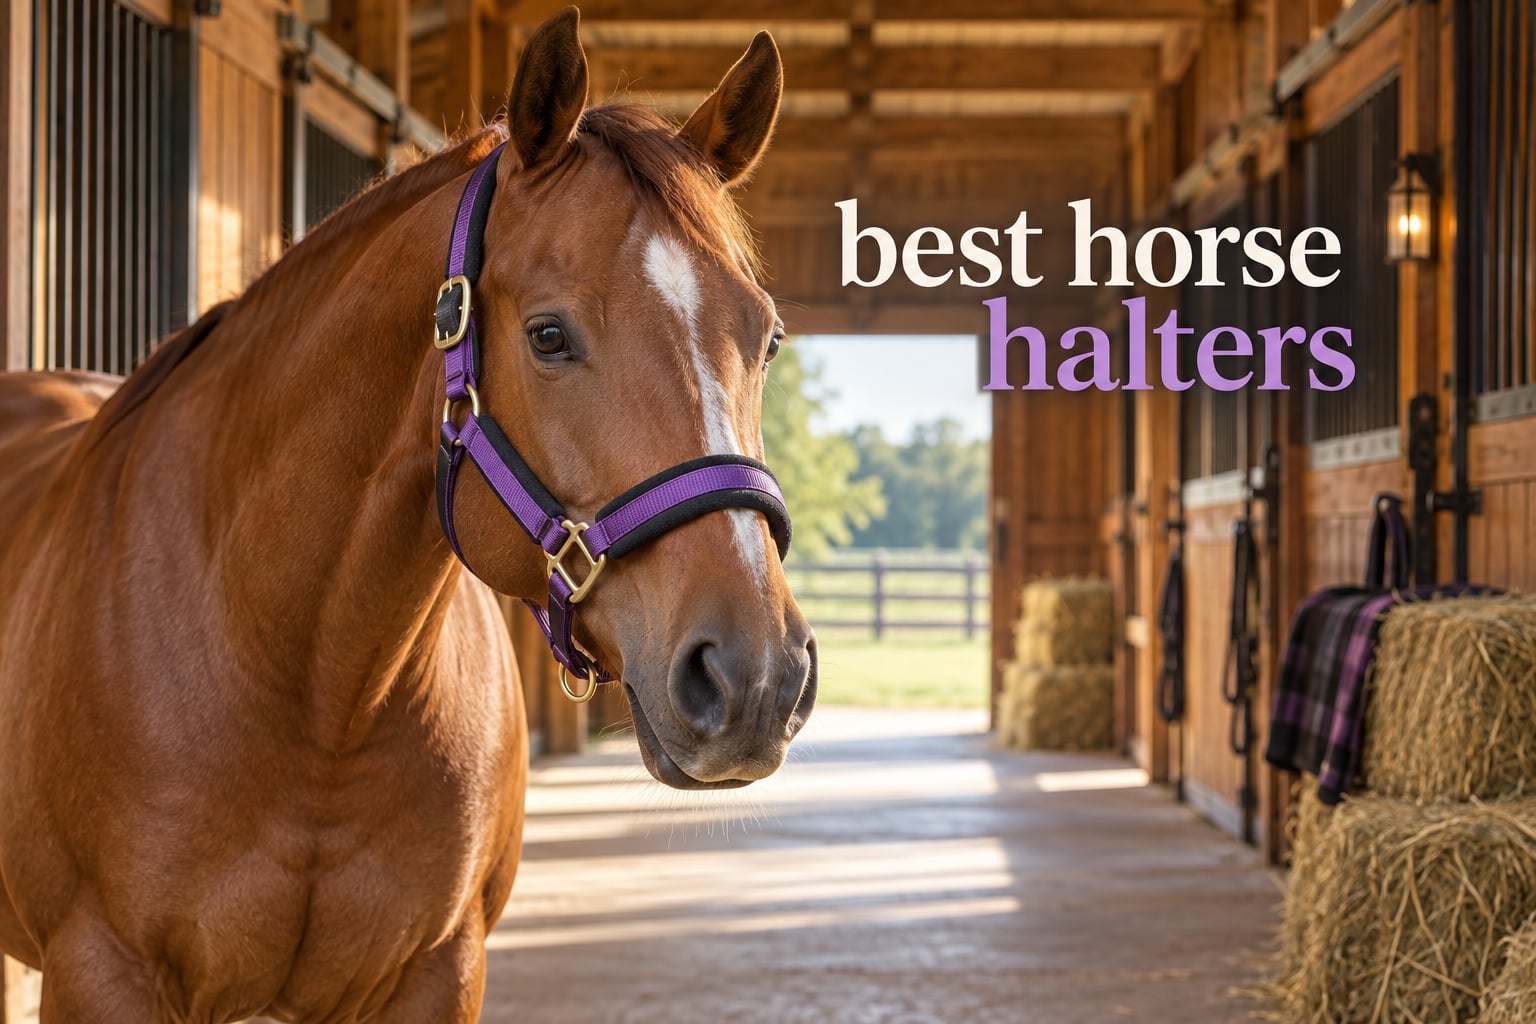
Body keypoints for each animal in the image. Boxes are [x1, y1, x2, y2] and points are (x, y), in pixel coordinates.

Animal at [0, 9, 815, 1021]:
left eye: (766, 338)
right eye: (549, 334)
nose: (756, 677)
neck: (312, 691)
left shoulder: (440, 970)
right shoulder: (102, 973)